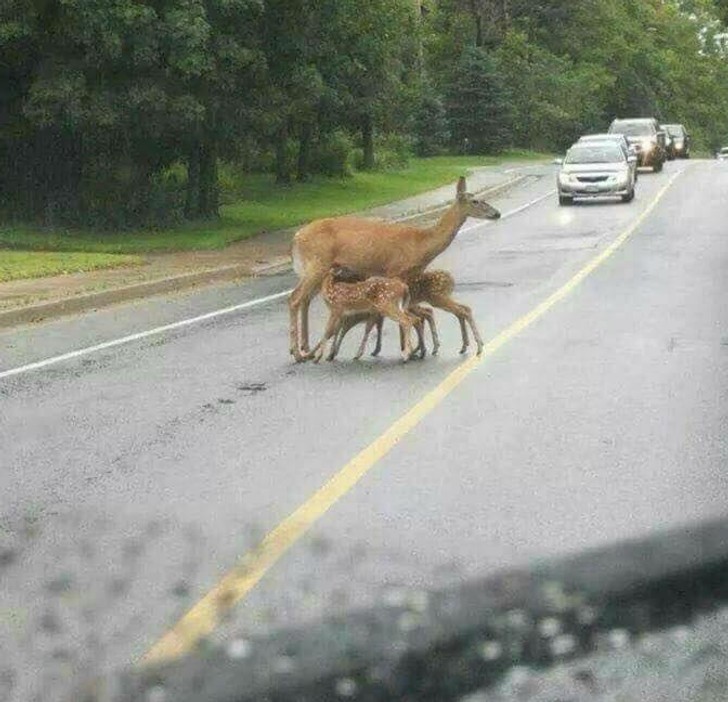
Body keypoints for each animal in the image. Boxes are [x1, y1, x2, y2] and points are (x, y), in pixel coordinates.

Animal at [290, 176, 500, 364]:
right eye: (475, 201)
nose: (497, 214)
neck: (421, 243)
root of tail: (297, 237)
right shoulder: (396, 271)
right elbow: (401, 314)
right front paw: (409, 350)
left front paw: (412, 349)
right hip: (317, 264)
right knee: (295, 298)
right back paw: (298, 353)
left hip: (319, 270)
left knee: (305, 300)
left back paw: (306, 349)